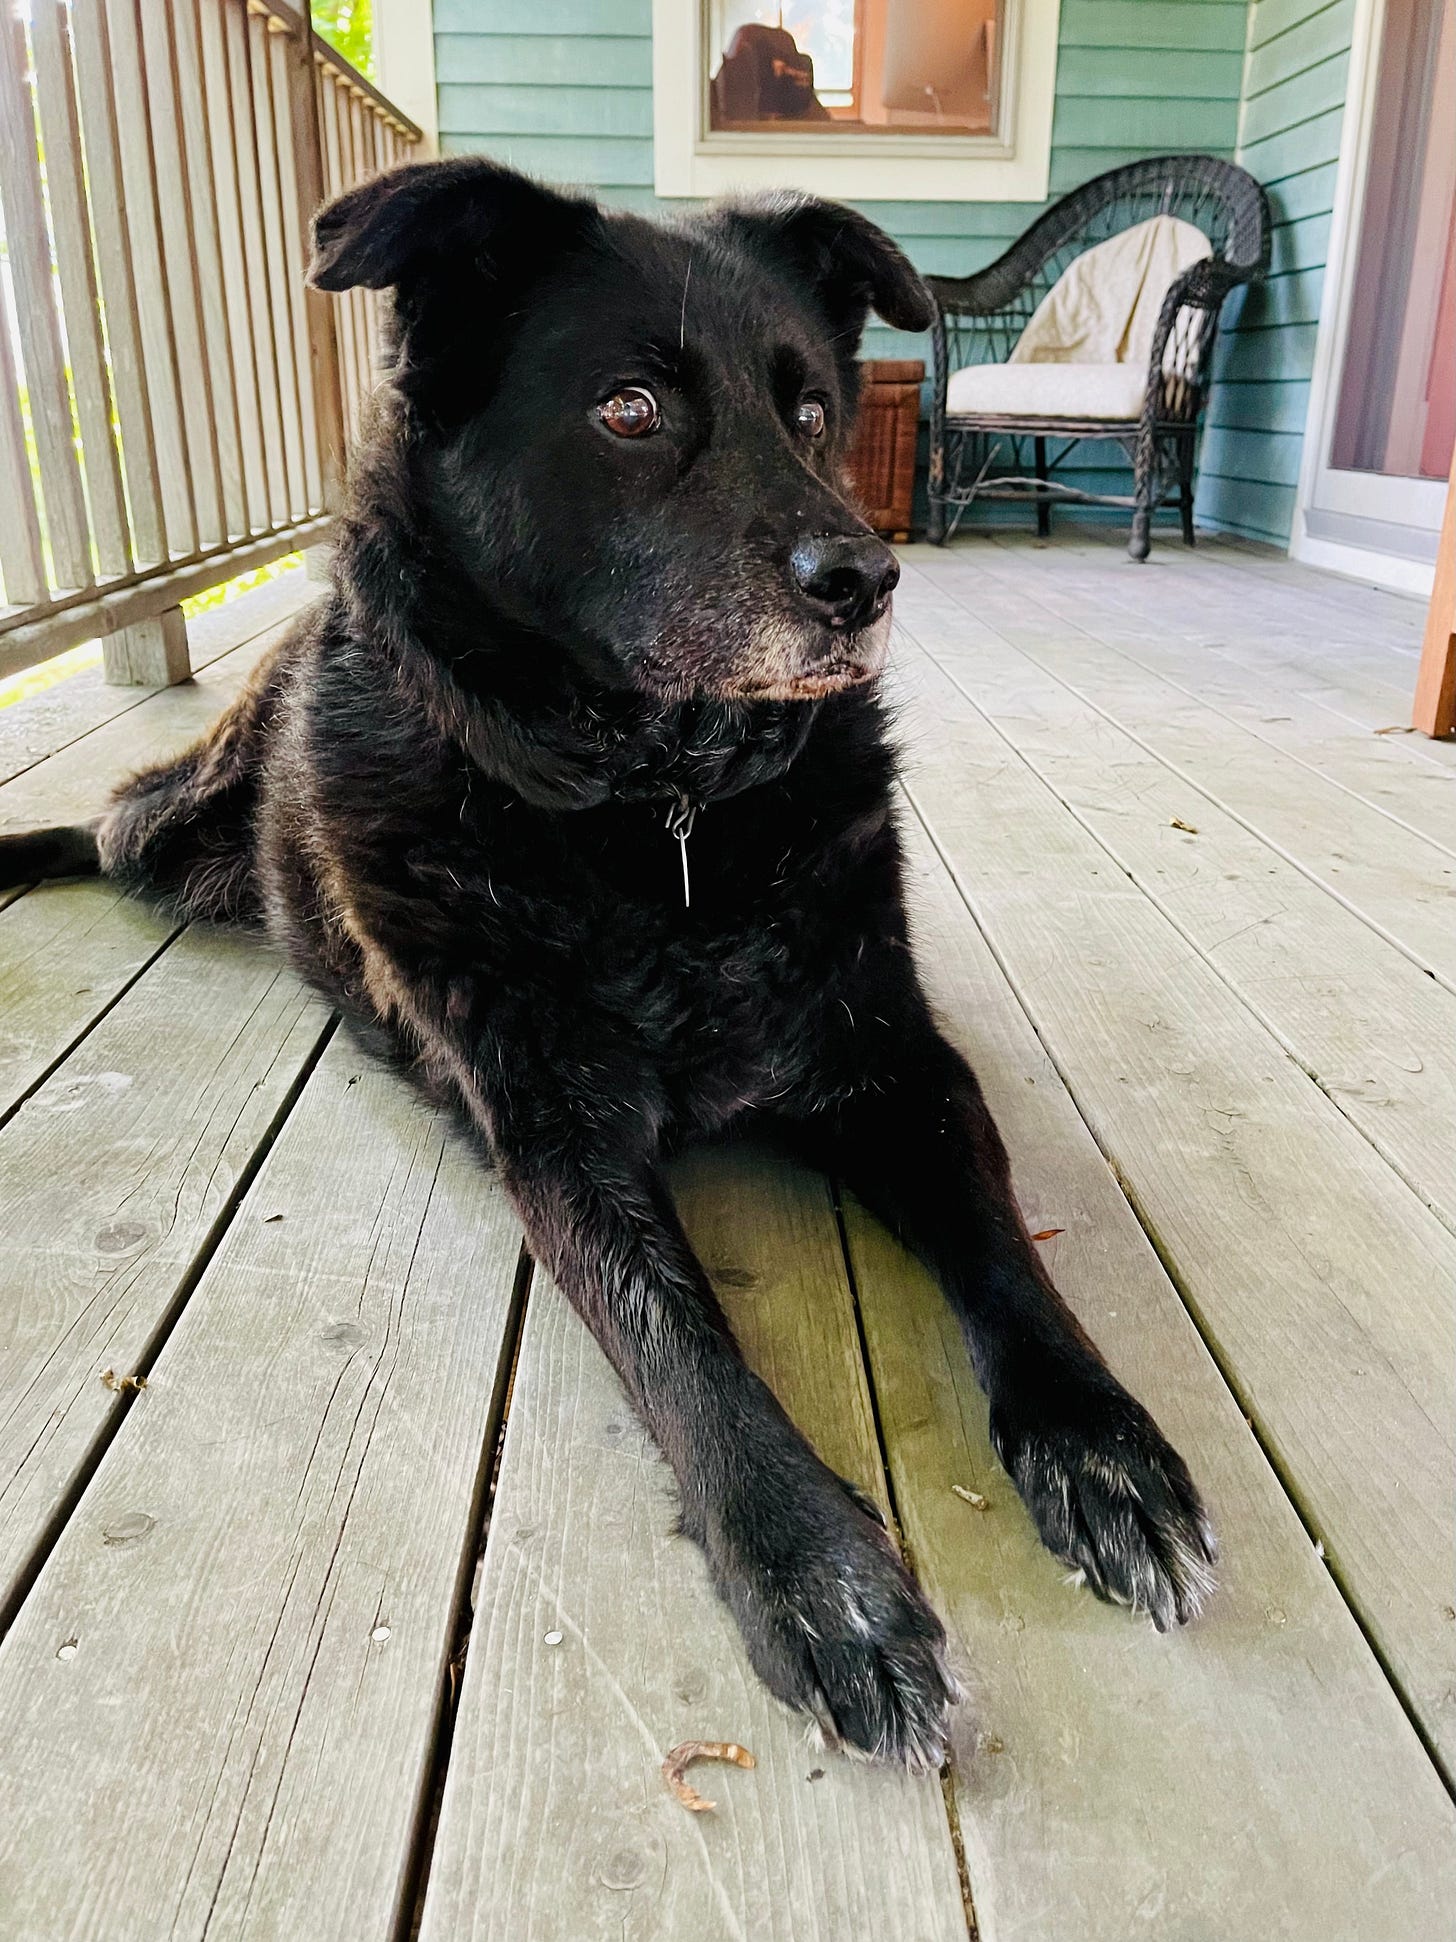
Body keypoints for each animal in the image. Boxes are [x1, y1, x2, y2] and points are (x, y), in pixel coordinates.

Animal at [2, 163, 1219, 1778]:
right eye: (631, 409)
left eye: (812, 411)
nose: (868, 579)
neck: (665, 819)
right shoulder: (557, 1135)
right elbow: (681, 1341)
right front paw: (820, 1576)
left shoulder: (896, 1065)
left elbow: (1006, 1251)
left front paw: (1102, 1446)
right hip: (162, 833)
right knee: (101, 824)